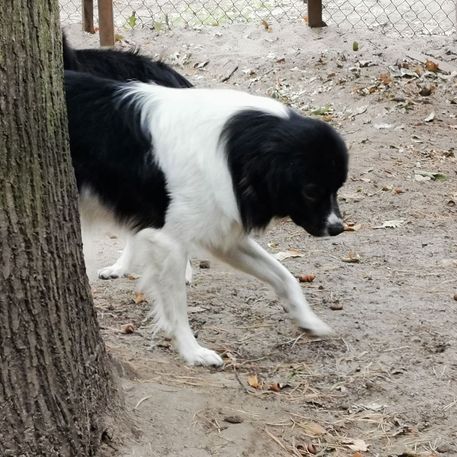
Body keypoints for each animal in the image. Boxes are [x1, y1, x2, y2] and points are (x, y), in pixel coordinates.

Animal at [64, 69, 348, 366]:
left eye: (337, 188)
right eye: (311, 191)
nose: (338, 228)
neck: (233, 149)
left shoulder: (221, 235)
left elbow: (283, 275)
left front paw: (308, 320)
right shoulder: (168, 241)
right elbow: (177, 306)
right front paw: (193, 351)